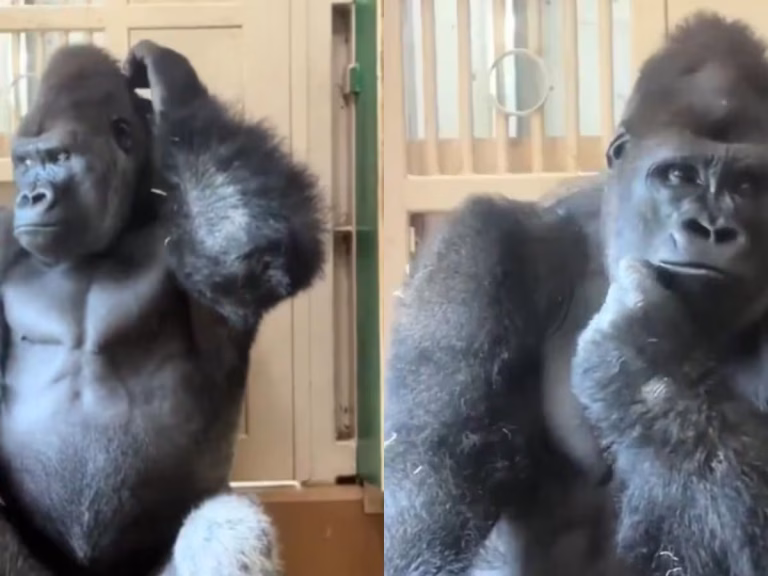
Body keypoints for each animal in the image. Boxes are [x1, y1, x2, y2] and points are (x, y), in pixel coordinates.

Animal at [0, 40, 326, 576]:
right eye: (25, 163)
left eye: (60, 156)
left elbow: (252, 255)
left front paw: (173, 83)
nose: (30, 195)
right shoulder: (3, 239)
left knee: (226, 529)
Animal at [384, 11, 768, 576]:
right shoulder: (476, 252)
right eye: (677, 174)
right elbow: (424, 523)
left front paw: (644, 358)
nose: (712, 230)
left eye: (747, 185)